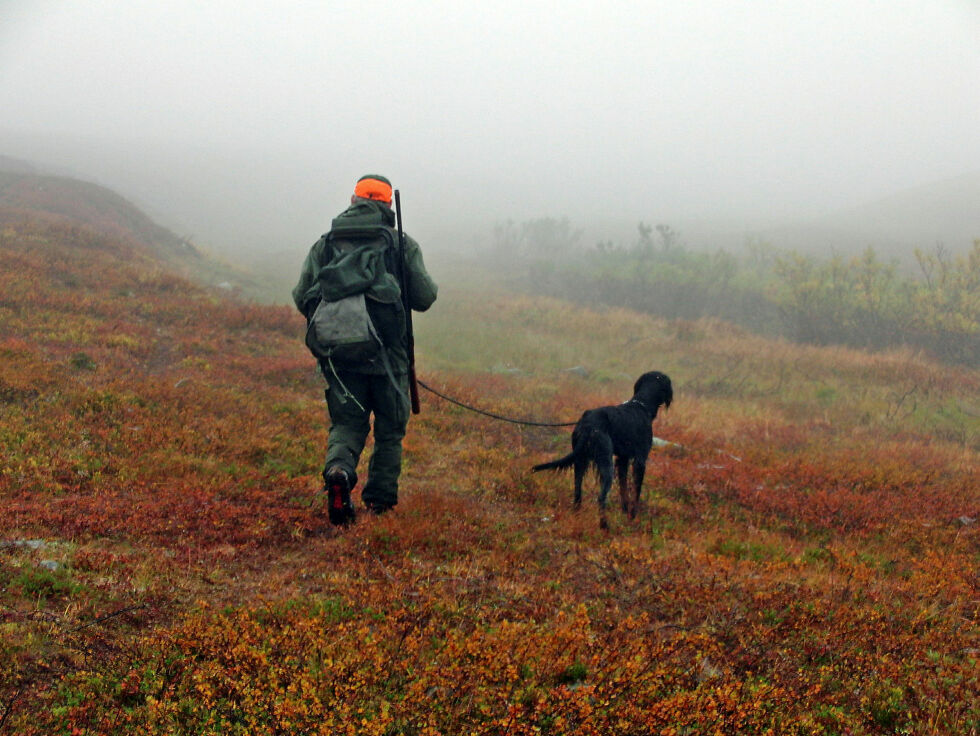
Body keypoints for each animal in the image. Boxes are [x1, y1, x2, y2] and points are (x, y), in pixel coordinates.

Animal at [528, 370, 672, 528]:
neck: (641, 405)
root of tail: (588, 423)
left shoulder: (622, 459)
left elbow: (624, 489)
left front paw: (625, 512)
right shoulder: (640, 460)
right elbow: (636, 491)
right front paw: (633, 516)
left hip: (581, 460)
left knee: (577, 490)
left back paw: (577, 514)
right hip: (606, 463)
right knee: (601, 497)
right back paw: (604, 526)